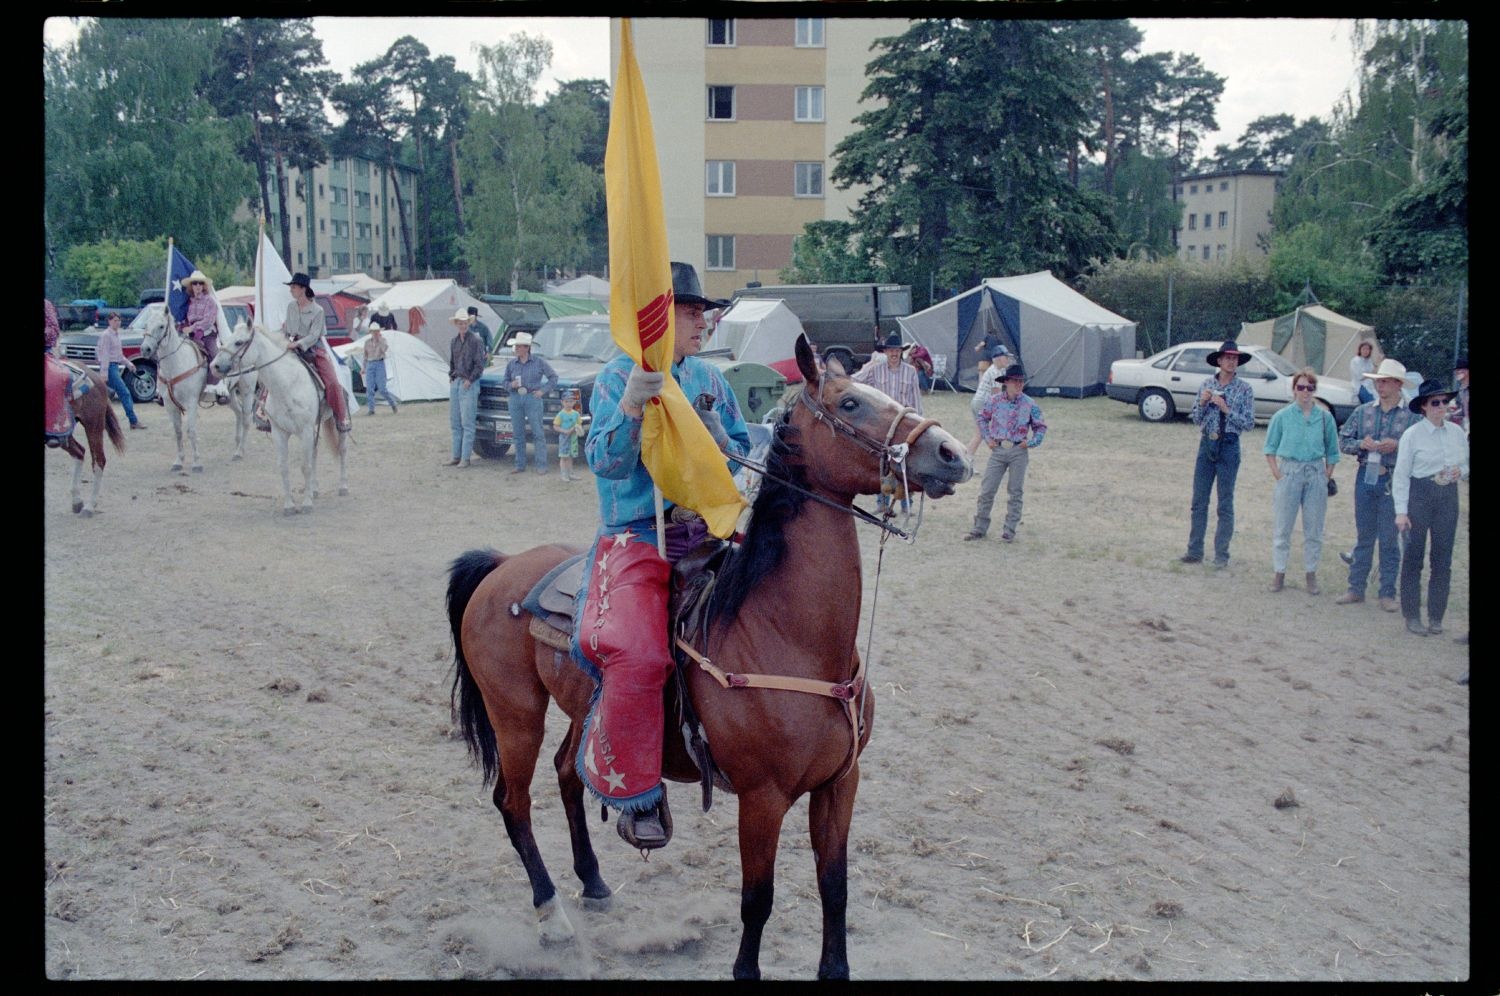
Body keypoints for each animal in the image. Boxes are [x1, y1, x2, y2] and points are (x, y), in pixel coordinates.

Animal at [138, 315, 210, 480]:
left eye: (161, 326)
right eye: (146, 324)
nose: (145, 349)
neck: (176, 364)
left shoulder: (191, 403)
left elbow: (191, 431)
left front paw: (197, 463)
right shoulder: (170, 405)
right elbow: (178, 432)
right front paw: (178, 462)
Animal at [213, 321, 349, 513]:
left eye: (239, 342)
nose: (214, 366)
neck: (287, 385)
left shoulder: (305, 430)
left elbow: (305, 466)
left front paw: (306, 503)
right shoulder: (280, 432)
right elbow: (284, 468)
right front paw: (290, 505)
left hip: (339, 420)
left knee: (342, 449)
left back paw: (343, 487)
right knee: (314, 453)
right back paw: (314, 489)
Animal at [444, 339, 972, 978]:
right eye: (849, 402)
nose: (953, 453)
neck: (789, 637)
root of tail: (502, 566)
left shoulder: (841, 783)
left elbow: (835, 887)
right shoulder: (762, 798)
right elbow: (758, 900)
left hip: (583, 711)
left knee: (570, 773)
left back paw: (594, 883)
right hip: (515, 714)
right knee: (513, 802)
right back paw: (552, 920)